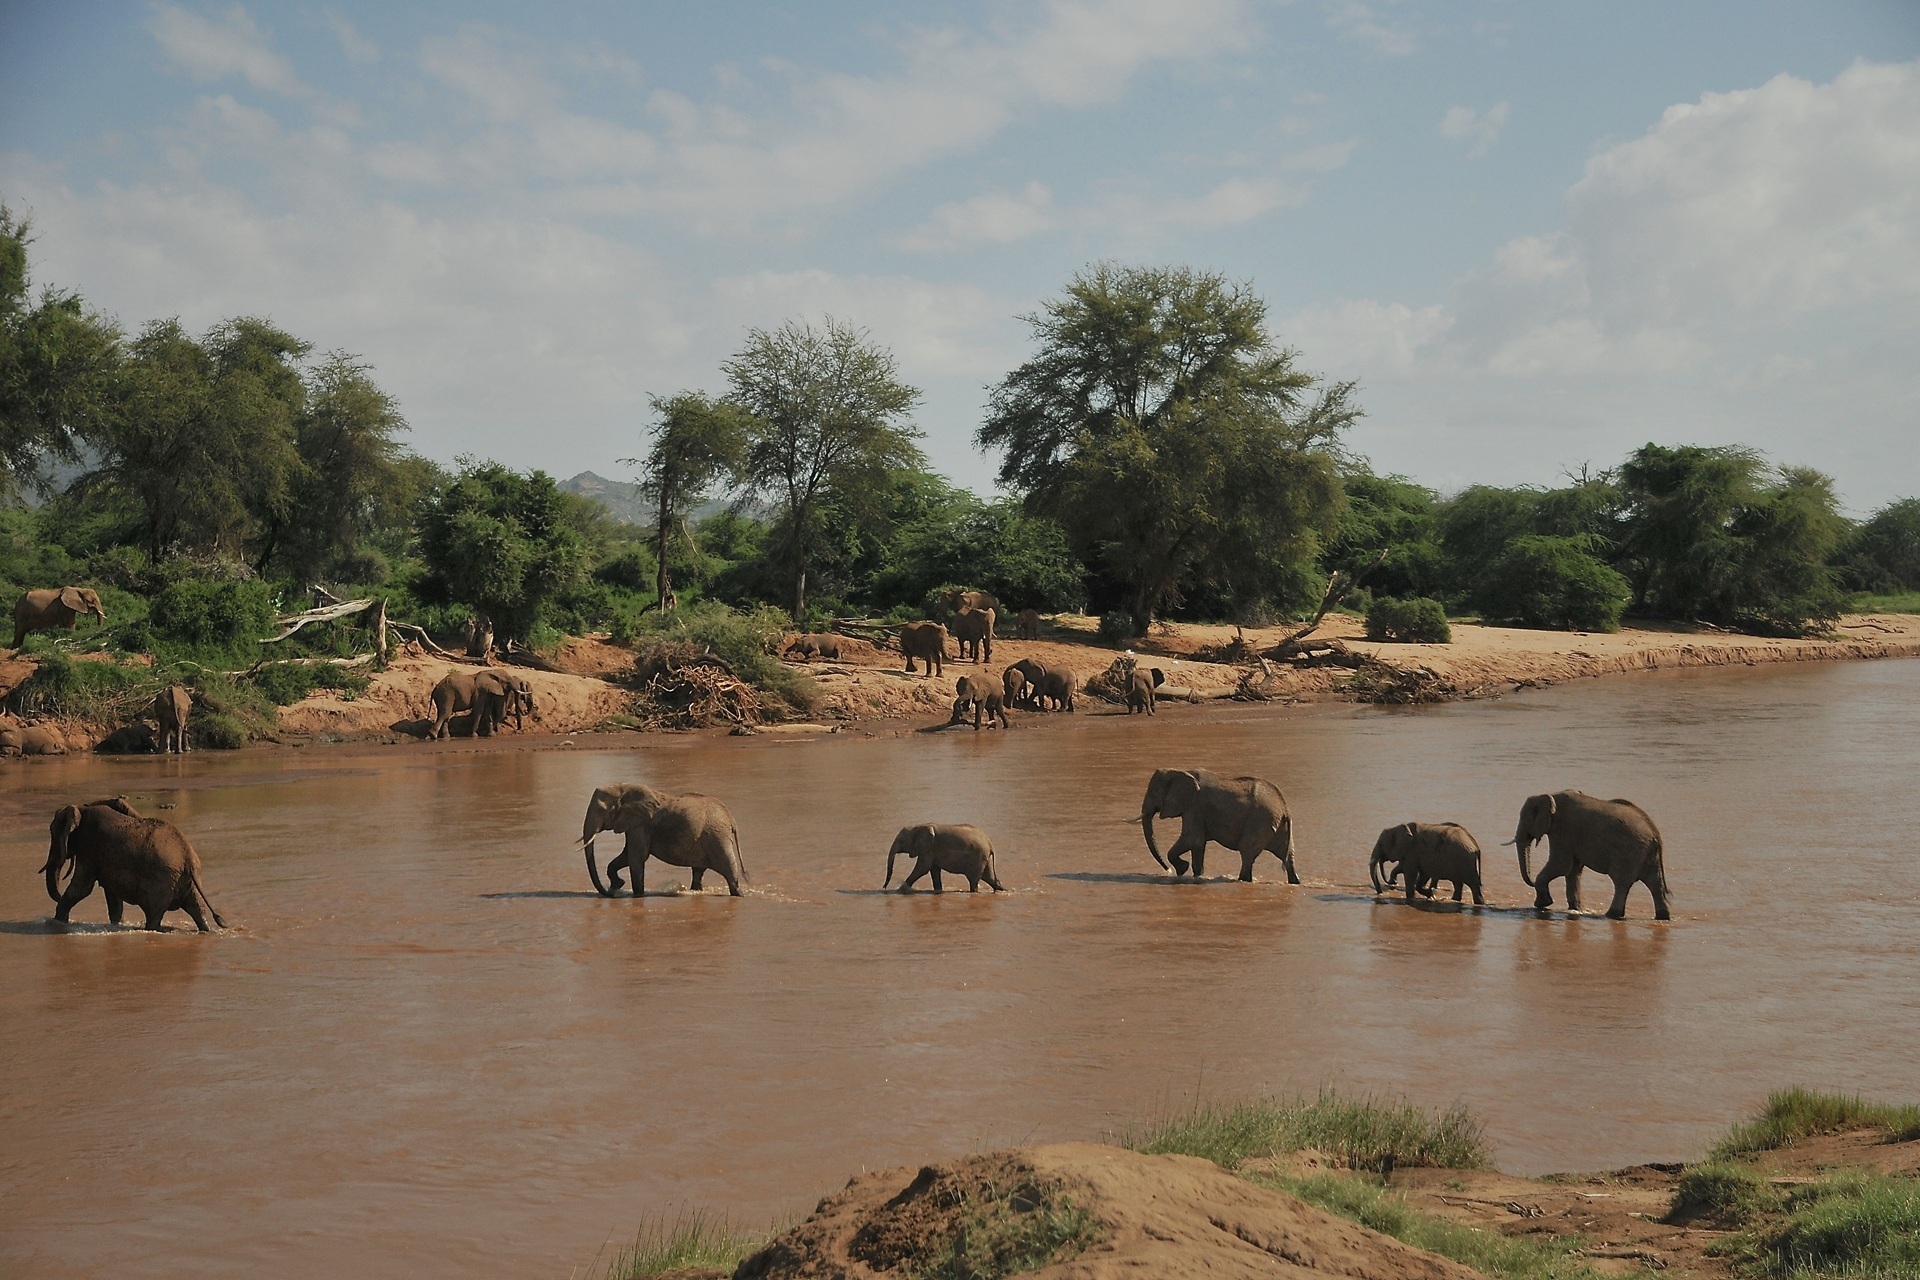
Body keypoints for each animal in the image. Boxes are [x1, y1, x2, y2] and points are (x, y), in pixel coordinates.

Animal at [43, 797, 227, 931]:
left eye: (52, 832)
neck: (81, 809)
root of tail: (188, 857)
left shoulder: (89, 848)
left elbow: (82, 888)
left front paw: (56, 922)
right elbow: (112, 896)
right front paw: (116, 924)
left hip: (162, 882)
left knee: (154, 916)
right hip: (186, 881)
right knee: (197, 909)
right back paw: (205, 930)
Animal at [578, 783, 748, 897]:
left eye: (600, 810)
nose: (609, 893)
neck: (623, 787)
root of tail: (731, 819)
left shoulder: (641, 824)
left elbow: (637, 857)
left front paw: (637, 895)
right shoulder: (635, 825)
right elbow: (627, 856)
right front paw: (618, 885)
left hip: (718, 838)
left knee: (728, 869)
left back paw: (739, 894)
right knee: (698, 871)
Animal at [1141, 767, 1298, 883]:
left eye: (1153, 793)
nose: (1167, 870)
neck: (1179, 771)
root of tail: (1284, 809)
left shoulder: (1195, 807)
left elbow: (1192, 839)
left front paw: (1182, 869)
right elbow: (1198, 845)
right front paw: (1196, 875)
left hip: (1260, 822)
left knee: (1246, 853)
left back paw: (1242, 880)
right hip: (1278, 828)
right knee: (1288, 858)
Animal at [1513, 790, 1671, 920]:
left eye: (1525, 820)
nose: (1531, 882)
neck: (1550, 795)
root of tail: (1655, 834)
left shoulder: (1562, 830)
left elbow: (1561, 865)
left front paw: (1542, 904)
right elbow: (1573, 870)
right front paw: (1576, 909)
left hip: (1629, 853)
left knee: (1621, 883)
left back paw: (1611, 915)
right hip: (1649, 857)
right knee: (1654, 884)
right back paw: (1662, 917)